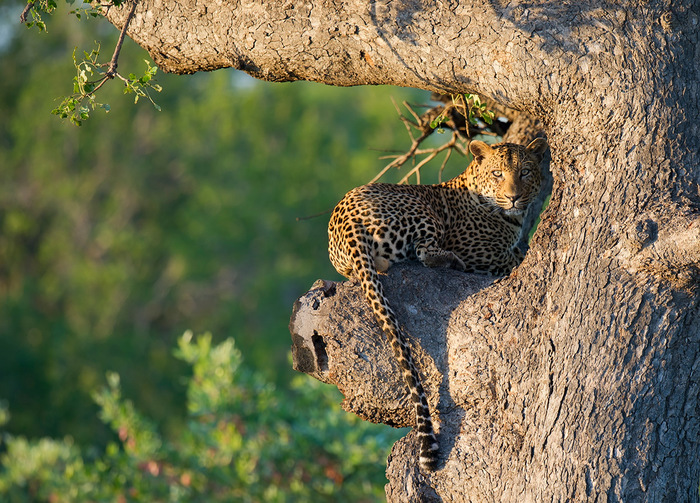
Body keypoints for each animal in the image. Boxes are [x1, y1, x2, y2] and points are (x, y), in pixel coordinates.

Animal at [326, 138, 548, 472]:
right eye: (497, 173)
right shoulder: (484, 254)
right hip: (422, 212)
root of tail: (346, 218)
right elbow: (518, 256)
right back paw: (450, 260)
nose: (513, 196)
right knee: (425, 253)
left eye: (525, 172)